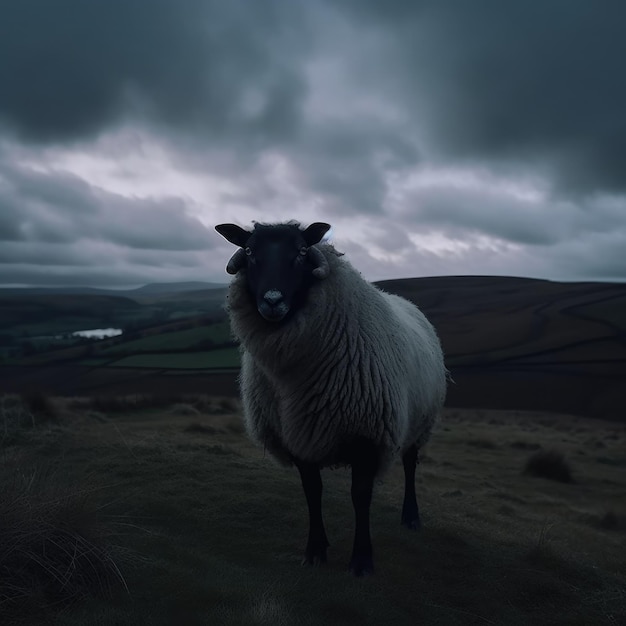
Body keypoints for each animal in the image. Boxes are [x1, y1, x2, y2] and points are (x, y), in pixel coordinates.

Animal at [216, 221, 448, 576]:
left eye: (301, 251)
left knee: (410, 465)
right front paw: (315, 550)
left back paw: (411, 517)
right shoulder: (298, 433)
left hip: (420, 421)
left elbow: (360, 496)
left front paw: (362, 560)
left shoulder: (366, 436)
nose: (272, 300)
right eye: (250, 250)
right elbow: (313, 492)